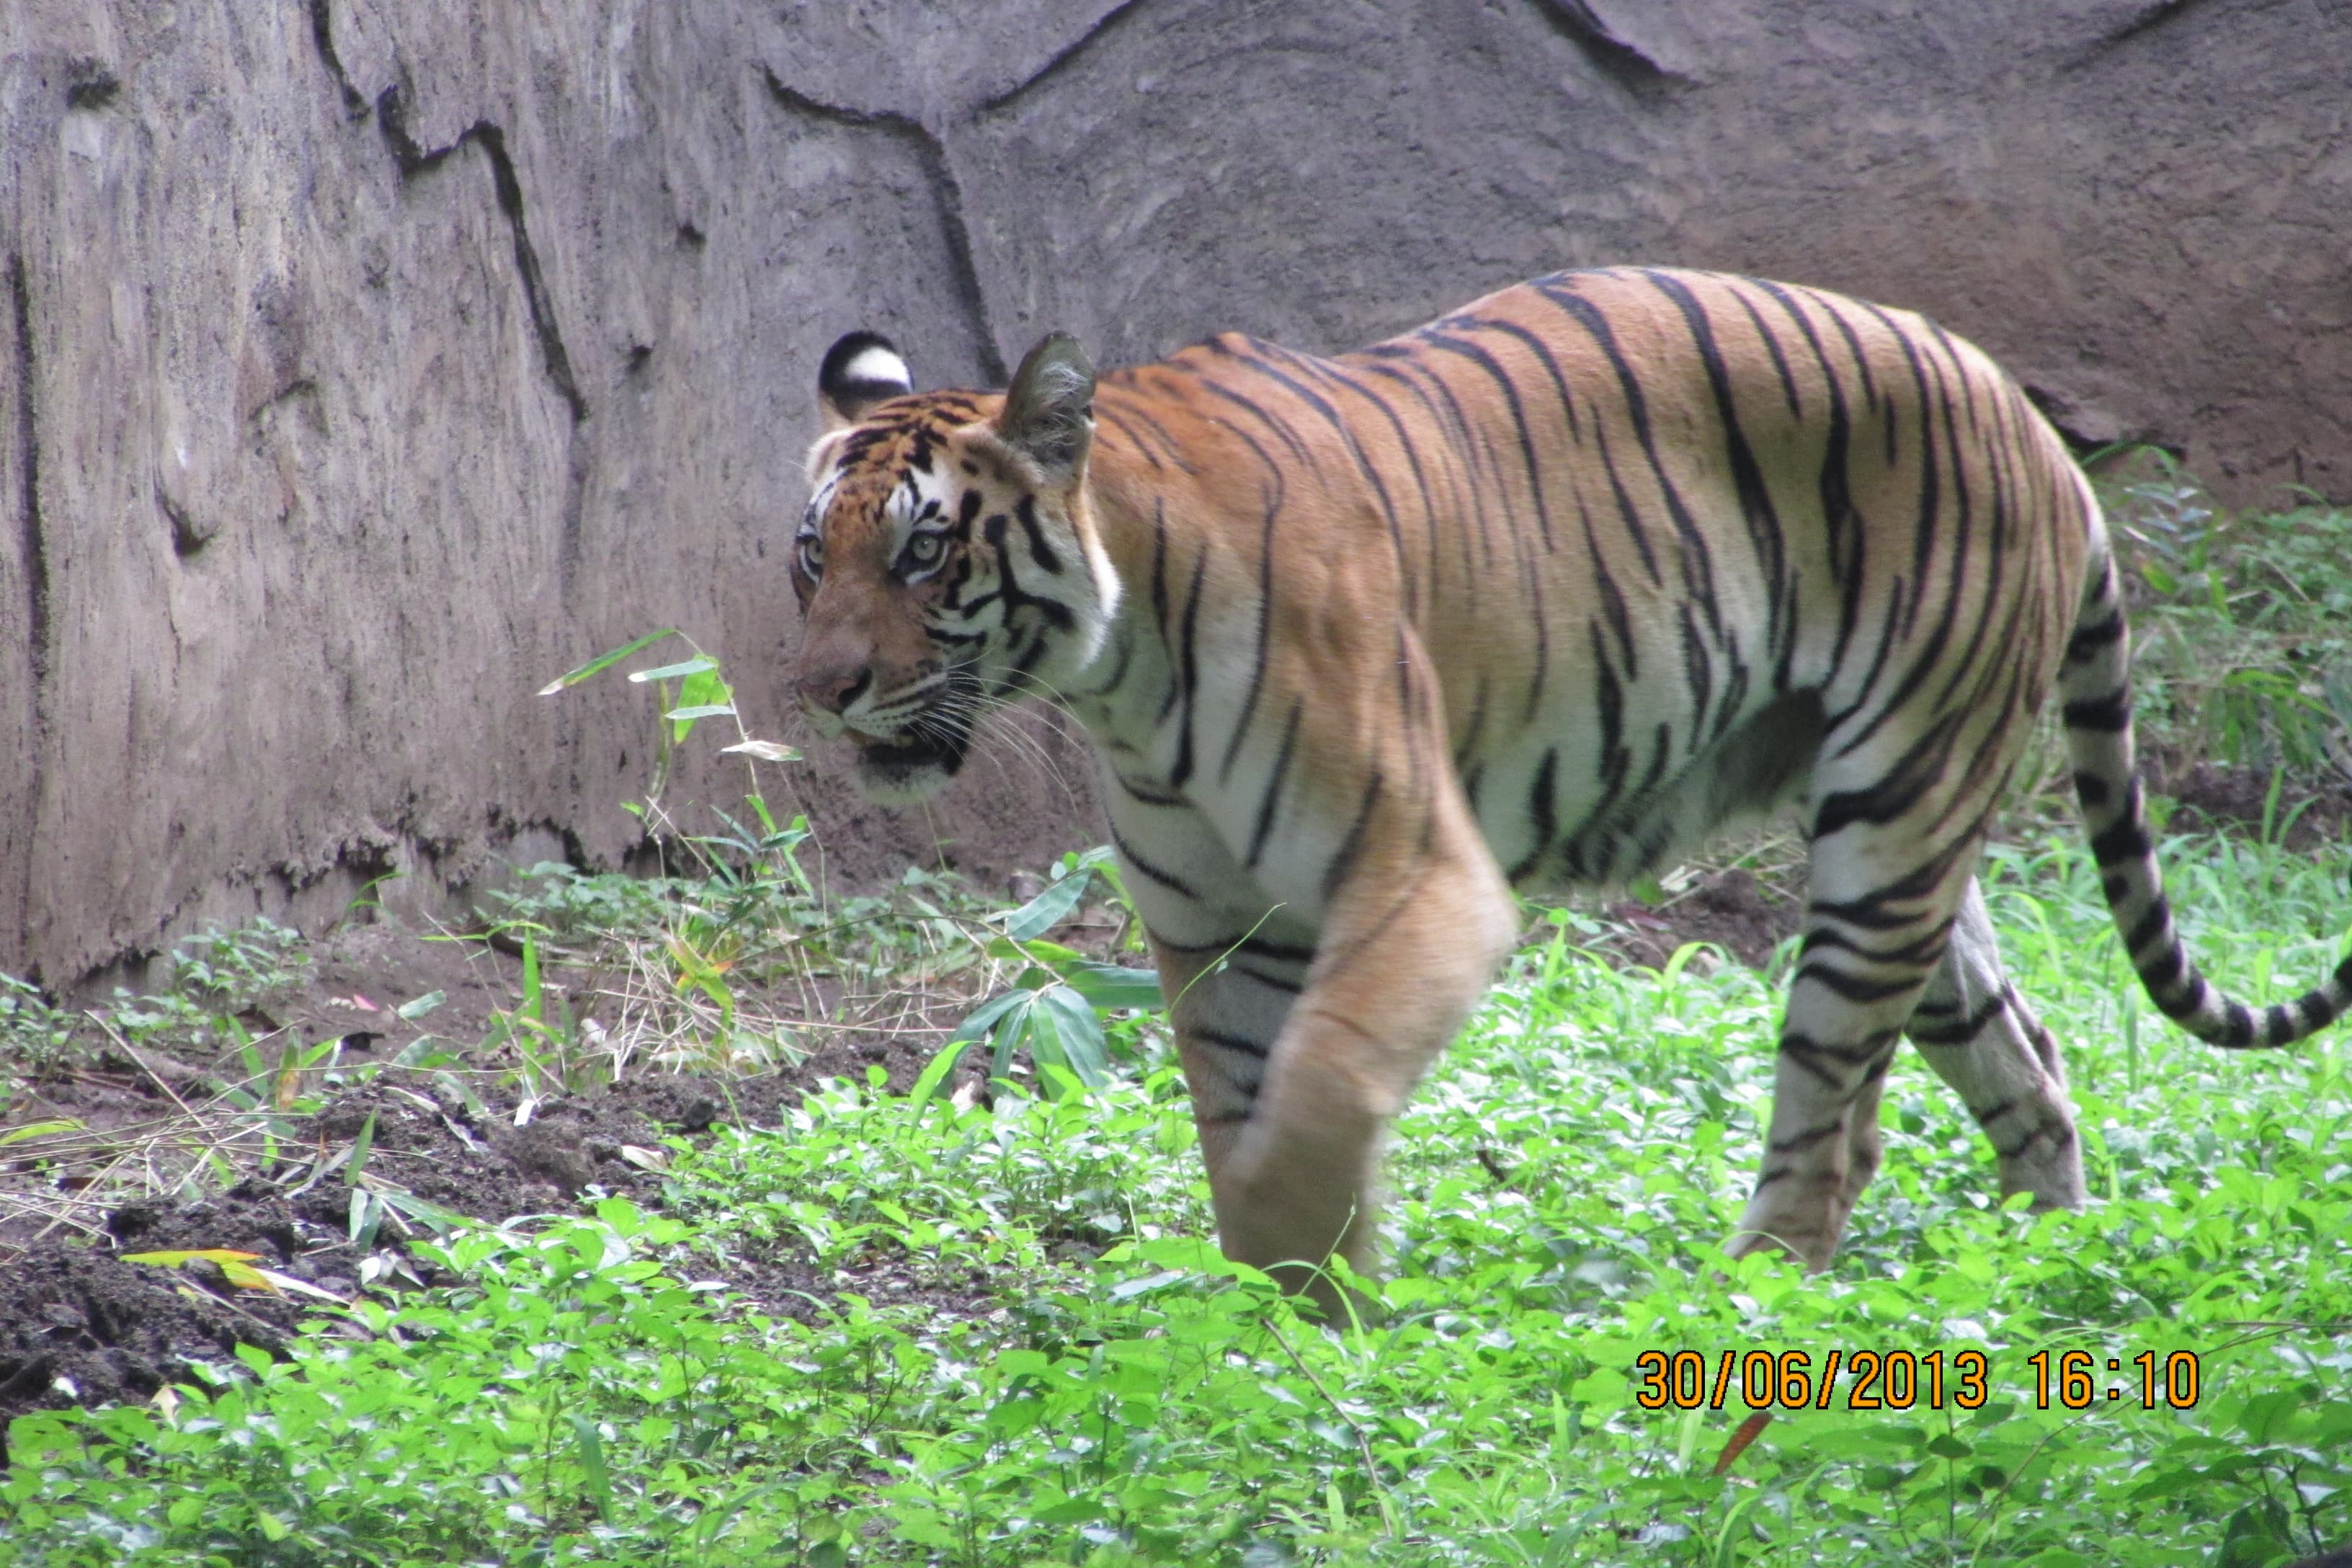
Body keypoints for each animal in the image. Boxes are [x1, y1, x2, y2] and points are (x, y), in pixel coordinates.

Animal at [790, 267, 2352, 1311]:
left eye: (923, 552)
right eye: (816, 552)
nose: (820, 690)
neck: (1117, 671)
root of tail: (2029, 424)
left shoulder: (1417, 875)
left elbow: (1315, 1095)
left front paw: (1331, 1313)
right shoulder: (1214, 929)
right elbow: (1239, 1126)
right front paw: (1288, 1334)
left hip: (1890, 824)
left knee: (1830, 1127)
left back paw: (1743, 1312)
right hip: (1913, 844)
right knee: (2022, 1055)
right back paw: (2044, 1278)